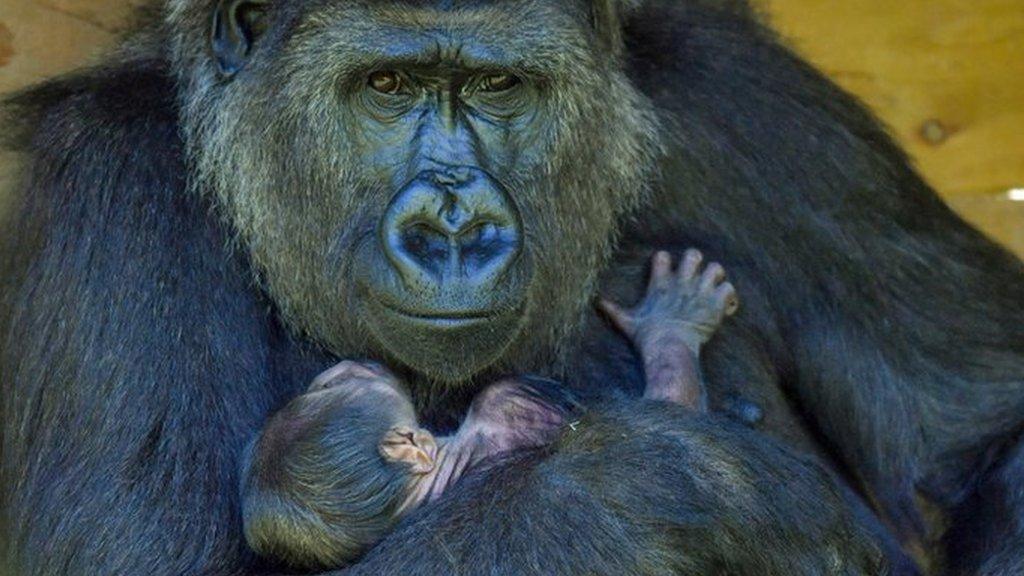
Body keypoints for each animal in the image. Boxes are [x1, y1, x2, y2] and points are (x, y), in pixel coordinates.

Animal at [239, 249, 737, 565]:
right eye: (344, 382)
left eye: (331, 381)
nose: (363, 364)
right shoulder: (507, 406)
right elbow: (671, 412)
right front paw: (674, 319)